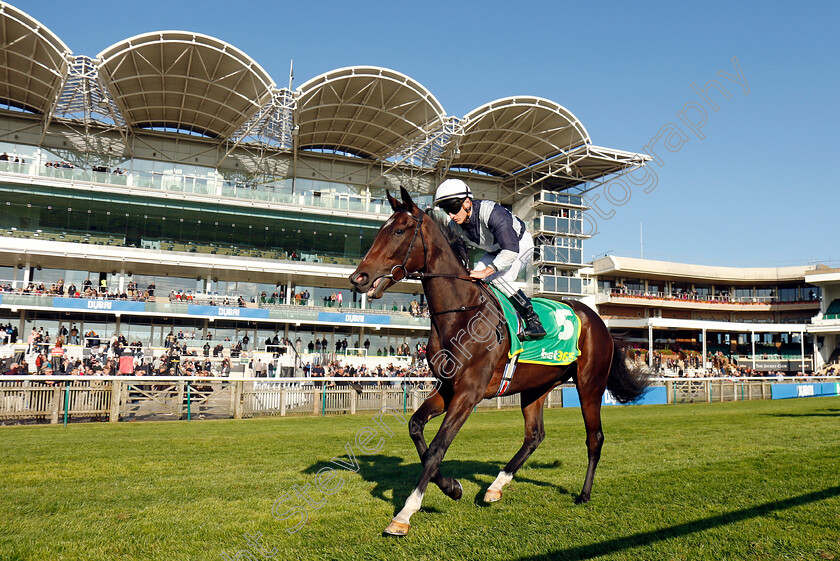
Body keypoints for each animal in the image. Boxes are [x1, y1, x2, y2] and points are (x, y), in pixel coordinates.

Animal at [348, 187, 648, 532]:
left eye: (399, 231)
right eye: (379, 231)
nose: (358, 277)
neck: (461, 312)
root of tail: (598, 320)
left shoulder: (469, 393)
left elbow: (437, 448)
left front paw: (405, 513)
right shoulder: (448, 389)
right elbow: (415, 429)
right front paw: (452, 487)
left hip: (589, 384)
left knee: (594, 437)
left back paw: (583, 494)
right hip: (535, 387)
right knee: (534, 436)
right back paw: (495, 487)